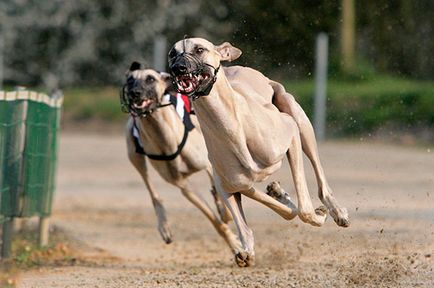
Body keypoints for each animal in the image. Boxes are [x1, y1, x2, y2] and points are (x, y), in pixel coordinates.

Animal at [120, 62, 239, 252]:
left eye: (150, 79)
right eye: (130, 80)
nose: (134, 93)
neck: (164, 136)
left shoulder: (208, 165)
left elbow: (222, 196)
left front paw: (224, 211)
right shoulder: (184, 185)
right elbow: (214, 220)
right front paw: (236, 247)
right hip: (134, 156)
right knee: (152, 191)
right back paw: (164, 225)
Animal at [169, 37, 350, 266]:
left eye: (199, 49)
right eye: (172, 54)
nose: (178, 68)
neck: (231, 129)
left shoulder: (290, 133)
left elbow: (304, 210)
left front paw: (319, 215)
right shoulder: (228, 185)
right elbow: (269, 216)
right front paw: (245, 251)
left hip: (297, 116)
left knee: (319, 177)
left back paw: (337, 211)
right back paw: (278, 193)